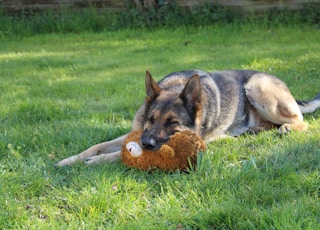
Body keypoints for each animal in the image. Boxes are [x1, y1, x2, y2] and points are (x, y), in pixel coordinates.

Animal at [55, 69, 320, 166]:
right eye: (151, 119)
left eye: (173, 123)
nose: (146, 144)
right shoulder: (135, 132)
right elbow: (96, 146)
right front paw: (69, 160)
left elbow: (118, 154)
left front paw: (97, 161)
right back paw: (255, 130)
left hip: (257, 86)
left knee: (300, 121)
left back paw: (286, 128)